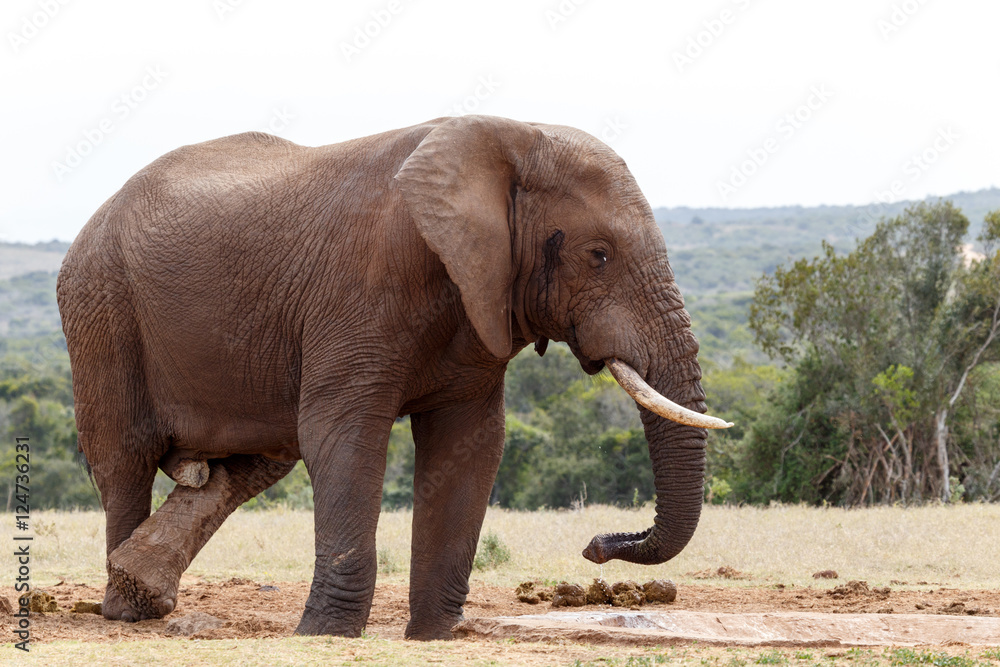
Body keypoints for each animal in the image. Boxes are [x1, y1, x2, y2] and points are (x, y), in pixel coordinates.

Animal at [56, 115, 731, 640]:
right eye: (598, 255)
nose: (595, 546)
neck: (509, 140)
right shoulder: (359, 287)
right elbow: (344, 436)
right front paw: (326, 634)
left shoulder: (479, 303)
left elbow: (471, 445)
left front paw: (434, 635)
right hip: (101, 307)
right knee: (125, 458)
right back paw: (126, 608)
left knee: (255, 456)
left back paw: (141, 585)